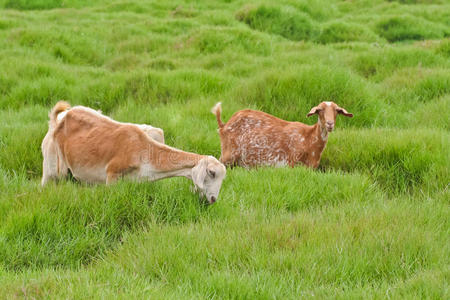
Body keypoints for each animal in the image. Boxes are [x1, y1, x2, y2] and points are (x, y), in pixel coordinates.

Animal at [42, 101, 227, 204]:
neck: (143, 152)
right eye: (211, 172)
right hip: (51, 168)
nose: (213, 200)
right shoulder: (112, 175)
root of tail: (59, 118)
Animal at [213, 101, 354, 169]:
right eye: (320, 110)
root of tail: (224, 125)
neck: (308, 139)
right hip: (228, 155)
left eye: (337, 111)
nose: (330, 124)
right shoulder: (291, 161)